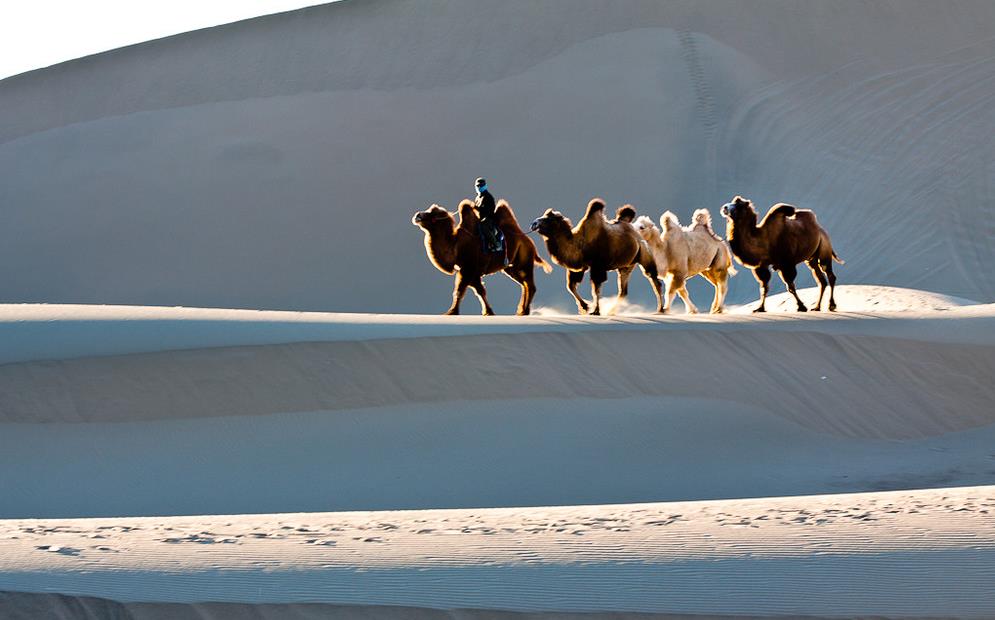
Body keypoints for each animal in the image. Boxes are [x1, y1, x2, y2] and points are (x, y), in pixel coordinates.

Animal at [412, 199, 552, 314]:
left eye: (433, 215)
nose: (417, 215)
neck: (455, 245)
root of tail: (530, 243)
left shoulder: (468, 269)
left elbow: (459, 291)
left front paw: (451, 312)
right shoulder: (471, 273)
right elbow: (480, 291)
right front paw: (488, 312)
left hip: (524, 262)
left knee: (530, 285)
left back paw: (524, 311)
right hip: (511, 268)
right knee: (524, 285)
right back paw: (521, 310)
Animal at [528, 199, 660, 314]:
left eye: (548, 219)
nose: (533, 224)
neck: (579, 244)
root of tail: (636, 233)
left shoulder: (598, 266)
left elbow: (595, 289)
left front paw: (595, 311)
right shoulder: (580, 267)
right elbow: (571, 286)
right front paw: (585, 307)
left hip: (644, 254)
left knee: (654, 279)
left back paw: (660, 309)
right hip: (627, 265)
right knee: (623, 290)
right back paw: (612, 312)